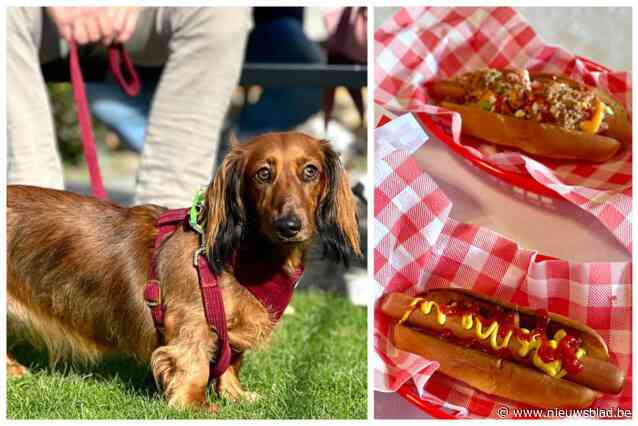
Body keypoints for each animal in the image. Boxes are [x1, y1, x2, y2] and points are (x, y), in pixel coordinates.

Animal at [7, 133, 362, 412]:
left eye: (310, 171)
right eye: (263, 173)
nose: (289, 226)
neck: (241, 257)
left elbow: (231, 360)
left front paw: (236, 395)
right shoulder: (190, 321)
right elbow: (195, 364)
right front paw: (195, 405)